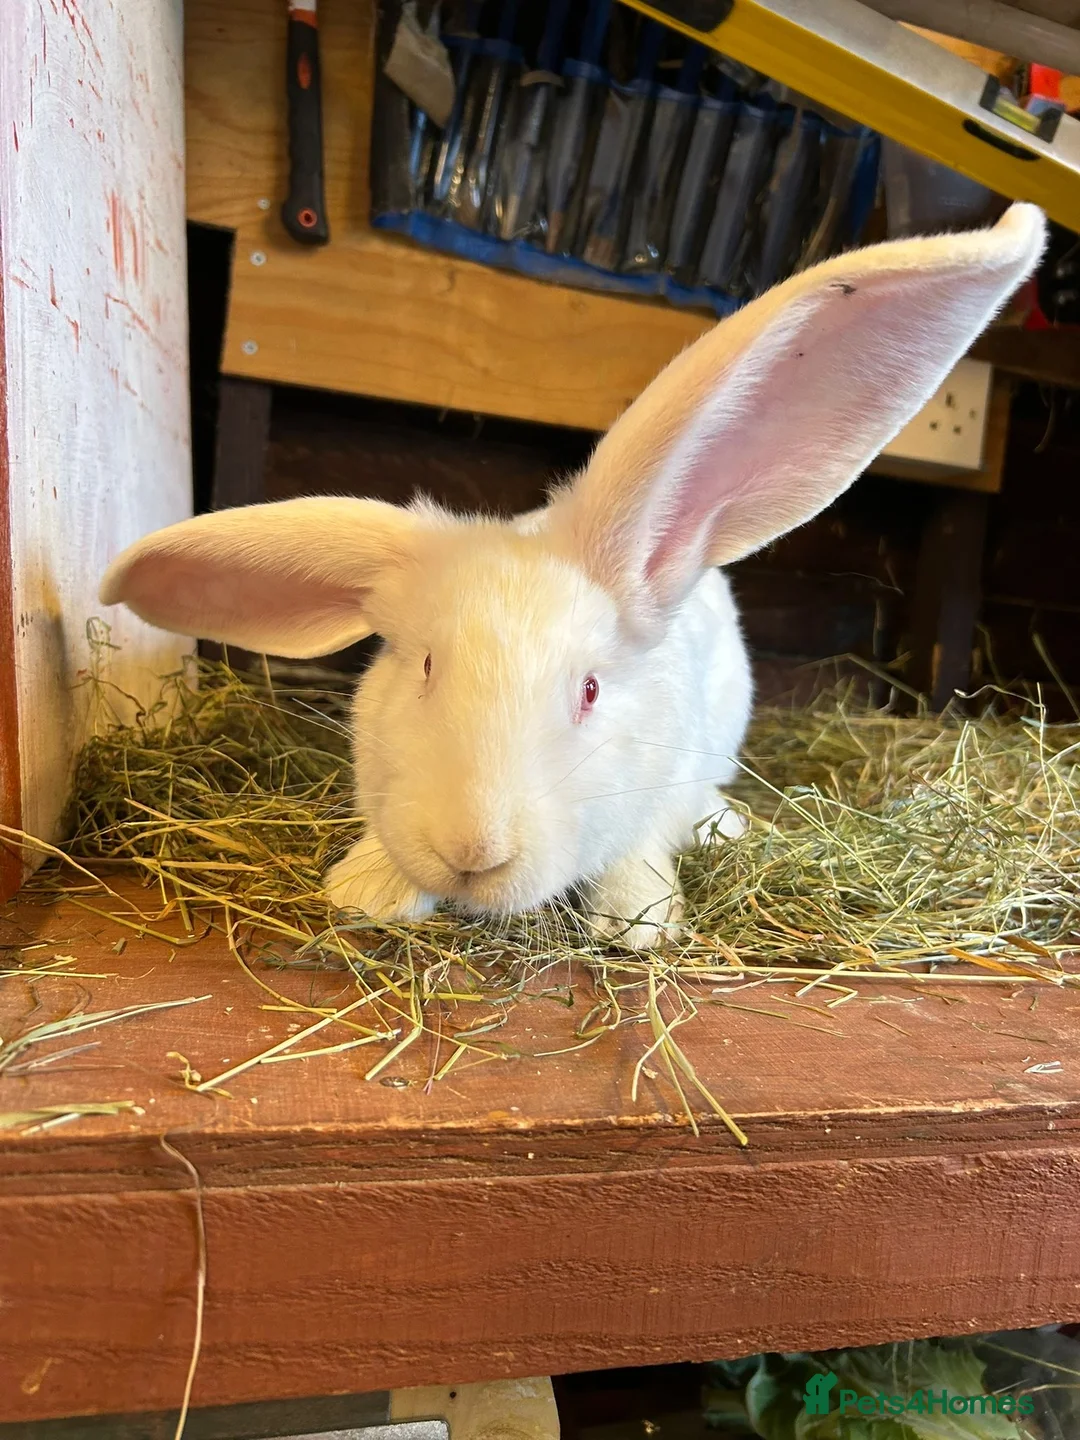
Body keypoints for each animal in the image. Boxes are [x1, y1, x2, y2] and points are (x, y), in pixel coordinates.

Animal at [100, 202, 1046, 947]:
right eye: (425, 667)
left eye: (589, 690)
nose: (475, 852)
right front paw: (367, 892)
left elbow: (639, 854)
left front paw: (637, 924)